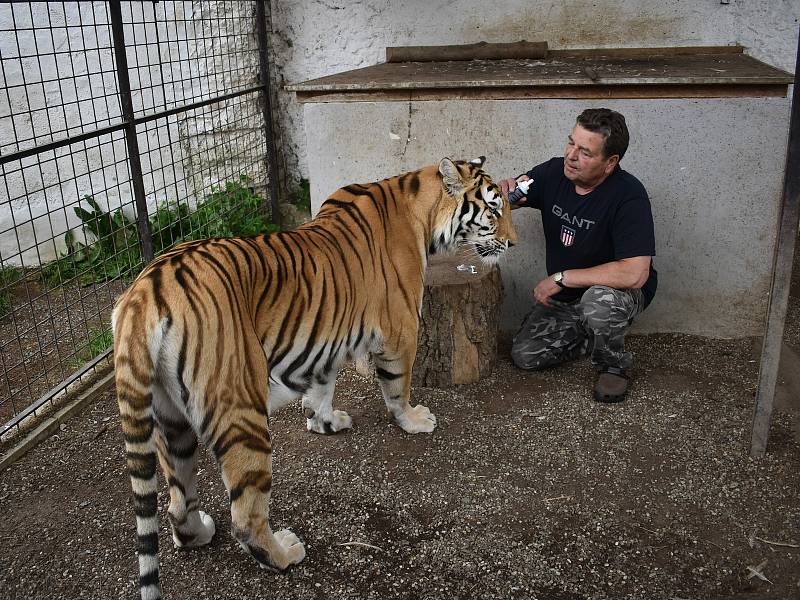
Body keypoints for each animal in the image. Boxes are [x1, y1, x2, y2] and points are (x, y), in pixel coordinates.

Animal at [112, 157, 520, 596]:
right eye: (494, 210)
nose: (514, 243)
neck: (419, 204)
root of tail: (141, 293)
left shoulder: (327, 334)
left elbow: (324, 382)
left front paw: (324, 421)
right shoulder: (401, 330)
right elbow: (398, 386)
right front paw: (412, 419)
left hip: (170, 420)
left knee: (175, 502)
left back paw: (199, 532)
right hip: (239, 407)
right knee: (245, 515)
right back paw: (284, 553)